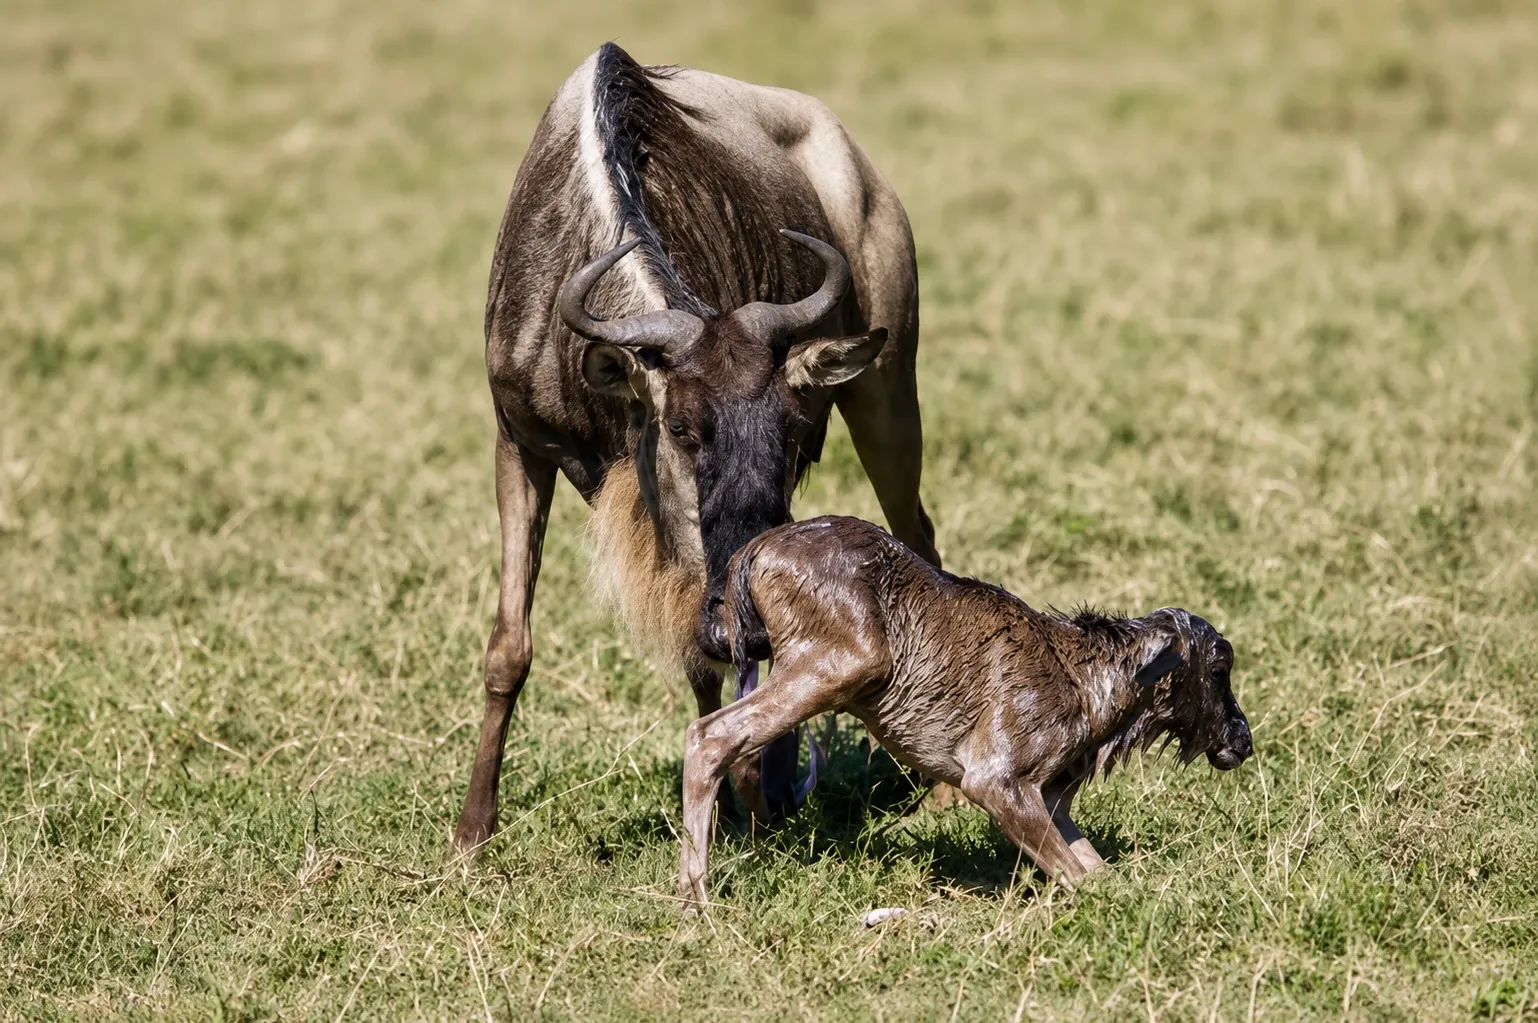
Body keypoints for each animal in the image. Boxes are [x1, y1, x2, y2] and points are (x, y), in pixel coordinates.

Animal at [454, 42, 939, 855]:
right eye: (682, 429)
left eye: (789, 430)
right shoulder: (518, 444)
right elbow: (510, 645)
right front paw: (472, 831)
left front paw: (751, 801)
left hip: (888, 390)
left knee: (919, 537)